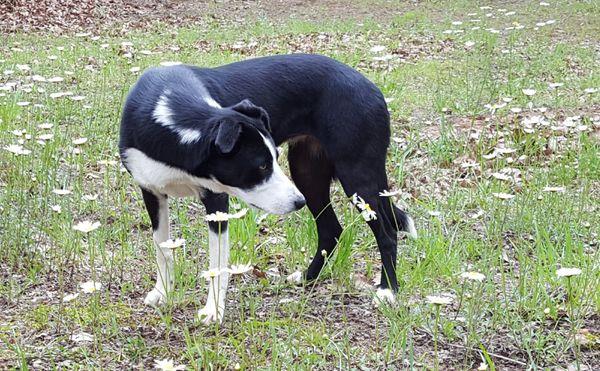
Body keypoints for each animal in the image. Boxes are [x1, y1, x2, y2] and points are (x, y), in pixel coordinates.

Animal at [119, 53, 414, 324]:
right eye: (261, 166)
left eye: (272, 158)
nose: (297, 203)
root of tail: (371, 87)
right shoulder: (152, 191)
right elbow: (162, 248)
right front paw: (163, 293)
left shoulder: (216, 198)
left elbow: (217, 263)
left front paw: (213, 311)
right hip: (308, 174)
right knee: (331, 229)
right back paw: (307, 278)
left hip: (356, 175)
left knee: (387, 232)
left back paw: (387, 290)